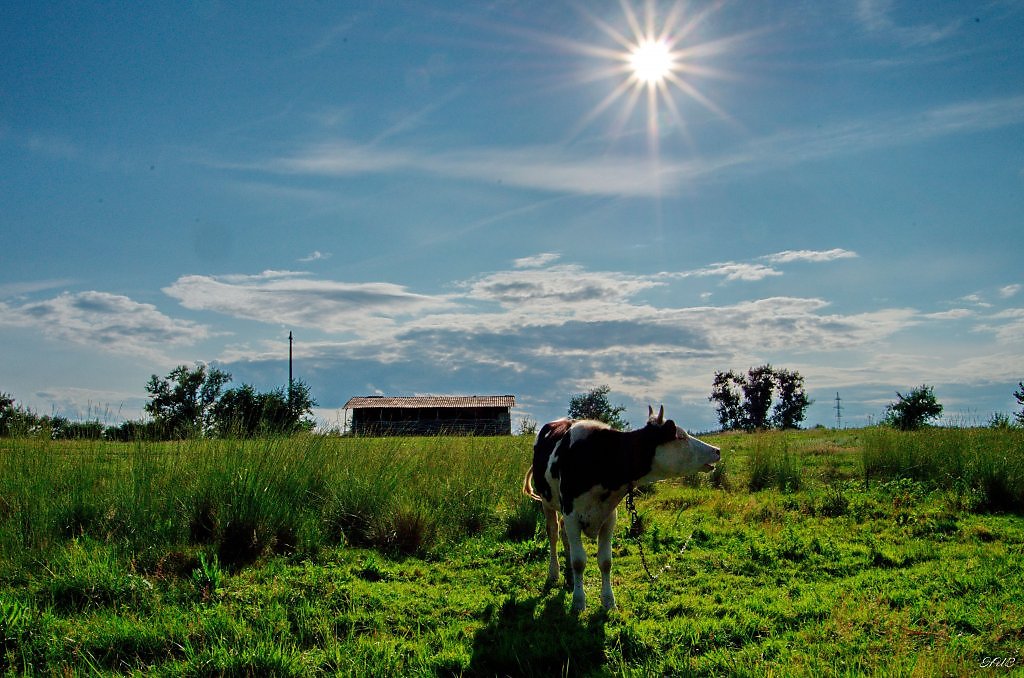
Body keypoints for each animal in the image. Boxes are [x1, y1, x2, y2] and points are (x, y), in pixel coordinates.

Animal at [524, 405, 716, 614]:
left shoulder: (609, 517)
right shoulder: (571, 514)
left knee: (565, 537)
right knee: (553, 533)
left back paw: (570, 576)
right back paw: (554, 572)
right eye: (680, 436)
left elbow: (605, 561)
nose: (717, 450)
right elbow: (579, 561)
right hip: (547, 502)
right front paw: (578, 602)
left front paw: (608, 601)